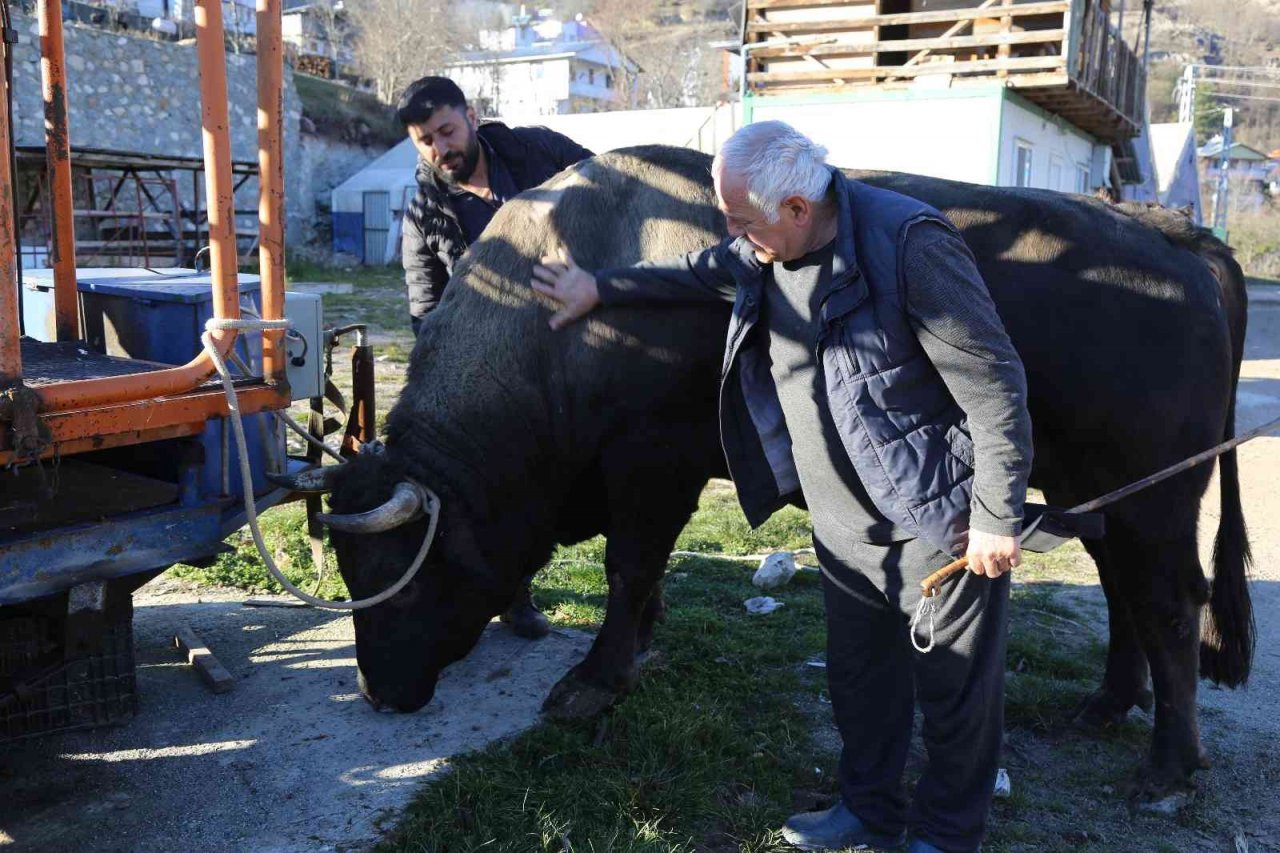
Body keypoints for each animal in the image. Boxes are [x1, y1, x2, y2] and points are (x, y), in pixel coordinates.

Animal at [302, 144, 1249, 799]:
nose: (380, 693)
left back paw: (1169, 765)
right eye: (348, 569)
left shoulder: (652, 460)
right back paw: (1108, 703)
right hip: (1102, 491)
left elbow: (628, 565)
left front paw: (599, 676)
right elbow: (644, 577)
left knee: (1171, 603)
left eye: (406, 573)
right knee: (1123, 588)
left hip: (1160, 491)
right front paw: (641, 641)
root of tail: (1175, 235)